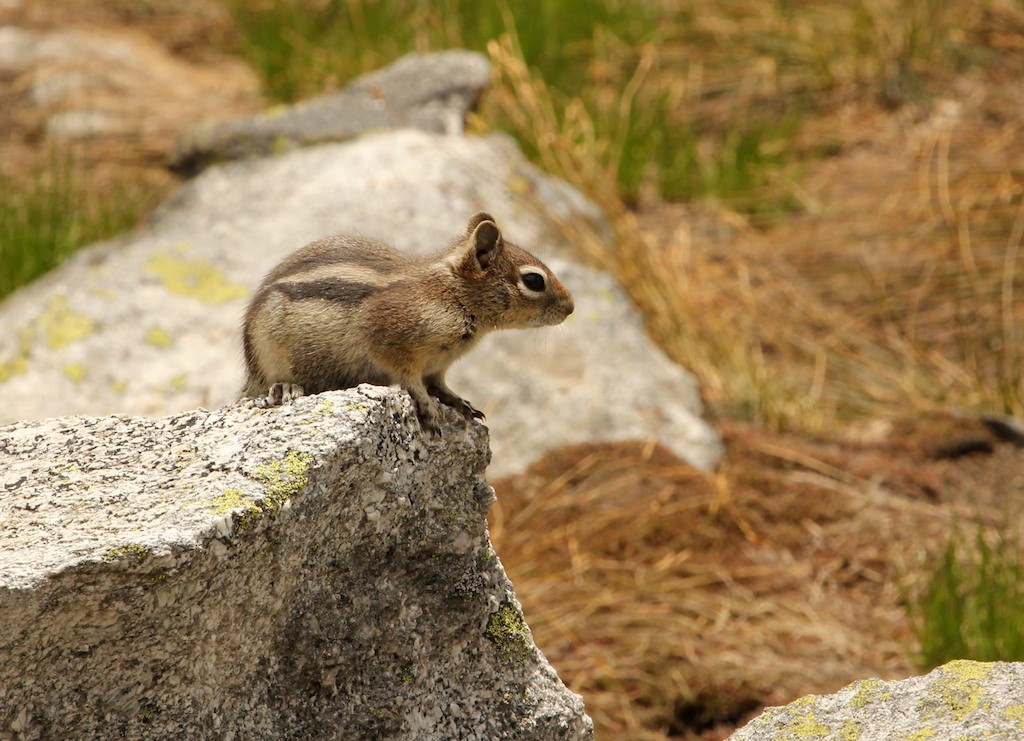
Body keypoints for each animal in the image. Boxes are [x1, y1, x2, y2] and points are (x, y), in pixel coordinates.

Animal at [240, 210, 577, 431]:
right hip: (270, 355)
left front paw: (457, 401)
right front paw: (427, 407)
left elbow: (438, 383)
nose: (571, 308)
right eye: (534, 281)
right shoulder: (387, 336)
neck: (452, 294)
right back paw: (283, 387)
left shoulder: (439, 364)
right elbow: (409, 379)